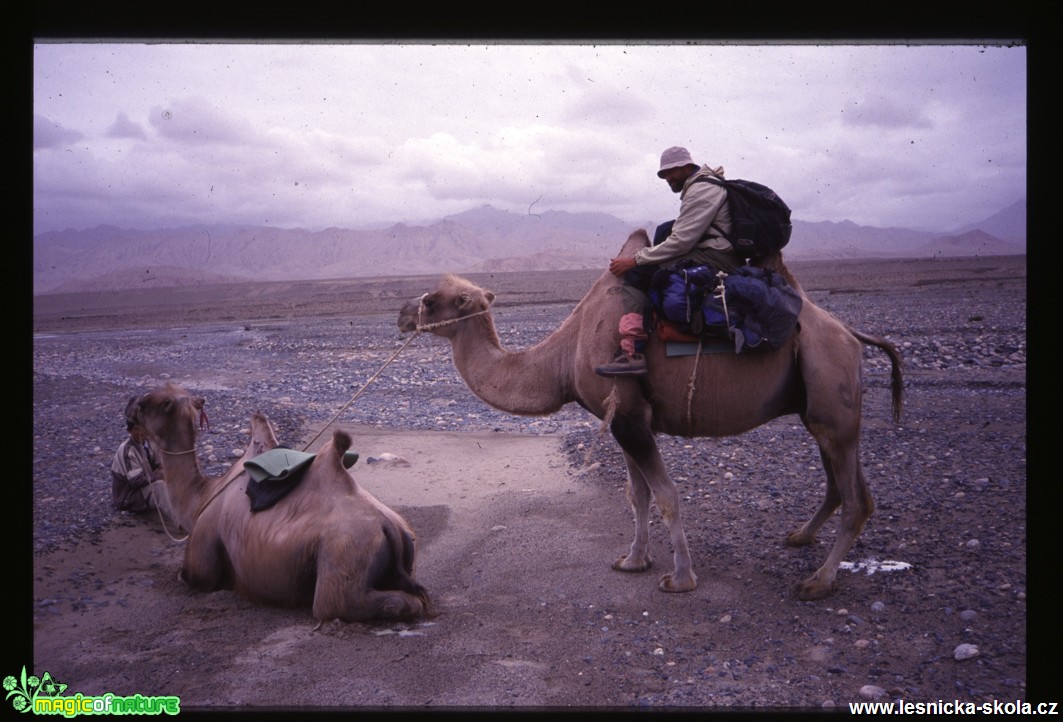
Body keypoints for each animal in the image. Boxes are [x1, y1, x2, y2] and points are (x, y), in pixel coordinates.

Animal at [399, 229, 905, 599]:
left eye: (429, 300)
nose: (402, 314)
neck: (564, 356)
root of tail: (851, 335)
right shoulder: (627, 418)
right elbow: (636, 494)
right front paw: (632, 560)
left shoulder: (628, 417)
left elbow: (665, 495)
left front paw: (680, 578)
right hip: (824, 411)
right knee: (846, 485)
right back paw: (799, 537)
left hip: (830, 392)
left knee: (855, 498)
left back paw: (817, 581)